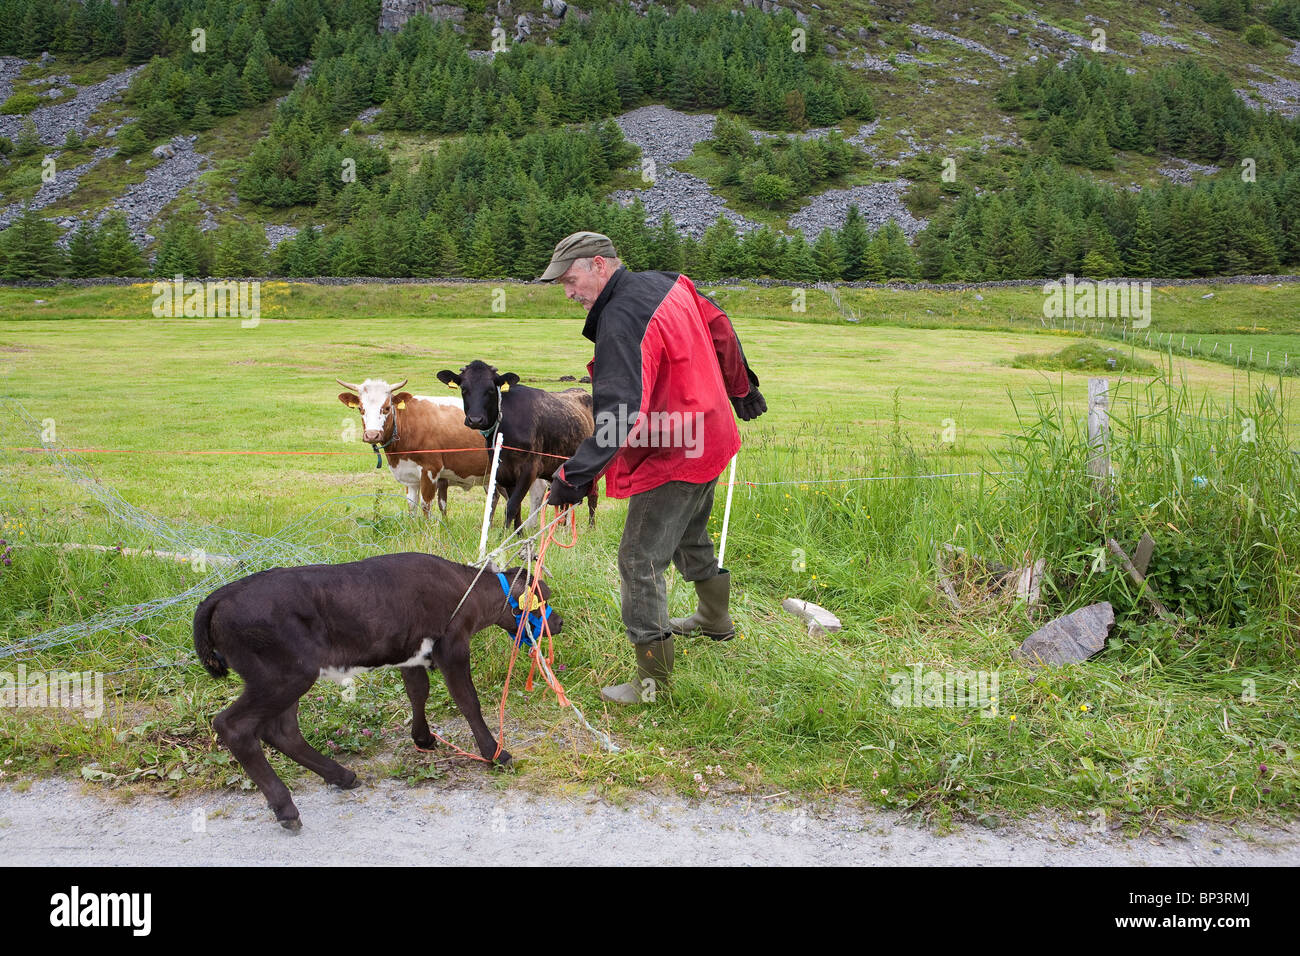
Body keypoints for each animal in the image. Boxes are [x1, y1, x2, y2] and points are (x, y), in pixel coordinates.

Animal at [195, 554, 556, 832]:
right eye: (544, 602)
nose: (561, 623)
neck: (467, 591)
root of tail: (221, 596)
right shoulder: (452, 645)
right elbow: (467, 700)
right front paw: (495, 753)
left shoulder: (411, 653)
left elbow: (418, 692)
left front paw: (424, 738)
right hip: (282, 675)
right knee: (234, 726)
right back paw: (286, 808)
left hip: (285, 677)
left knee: (283, 731)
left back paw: (341, 776)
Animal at [335, 377, 496, 520]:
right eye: (361, 409)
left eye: (386, 408)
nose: (372, 435)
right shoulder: (410, 476)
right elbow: (412, 506)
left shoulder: (430, 470)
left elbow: (426, 505)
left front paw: (427, 531)